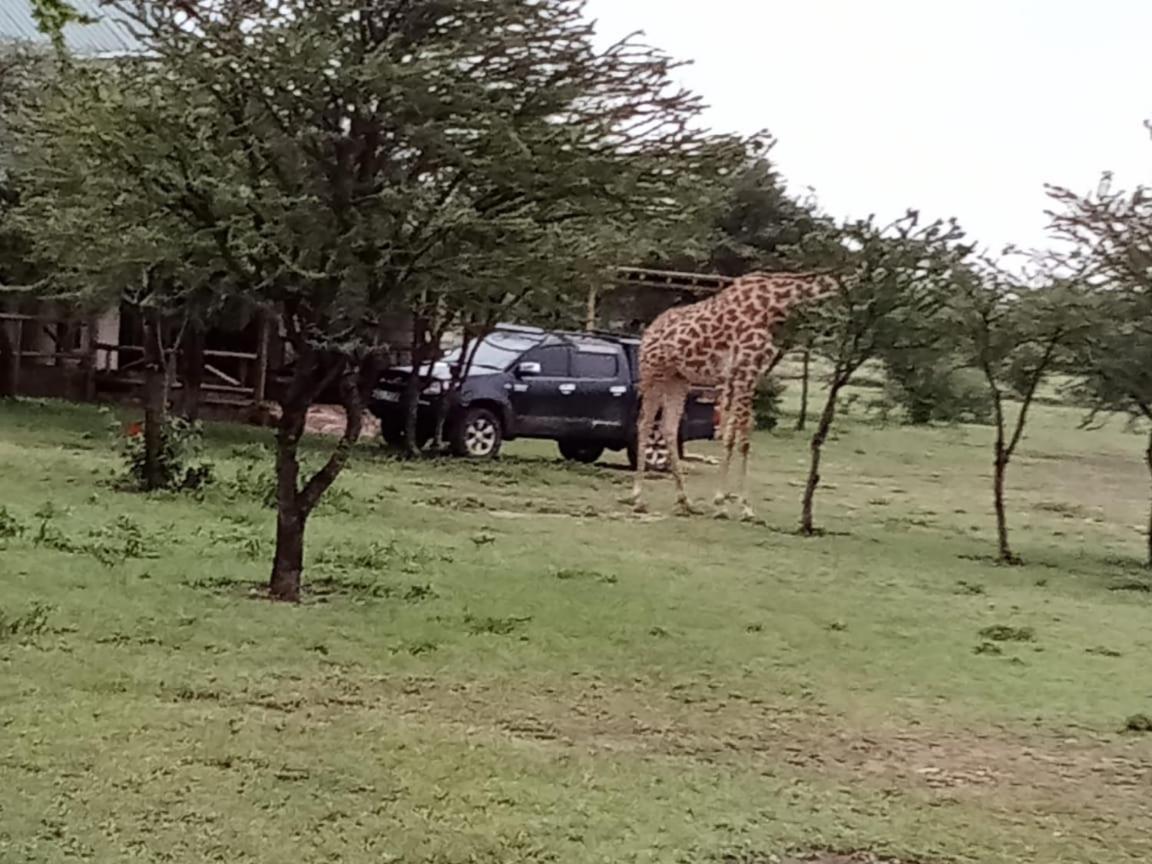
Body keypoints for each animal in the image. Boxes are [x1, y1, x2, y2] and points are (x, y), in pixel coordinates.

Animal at [631, 274, 838, 520]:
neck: (775, 302)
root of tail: (648, 330)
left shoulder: (742, 376)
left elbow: (734, 435)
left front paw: (727, 503)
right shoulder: (745, 371)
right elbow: (741, 438)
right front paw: (737, 506)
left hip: (678, 379)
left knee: (669, 427)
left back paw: (685, 501)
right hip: (653, 372)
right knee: (644, 422)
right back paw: (638, 498)